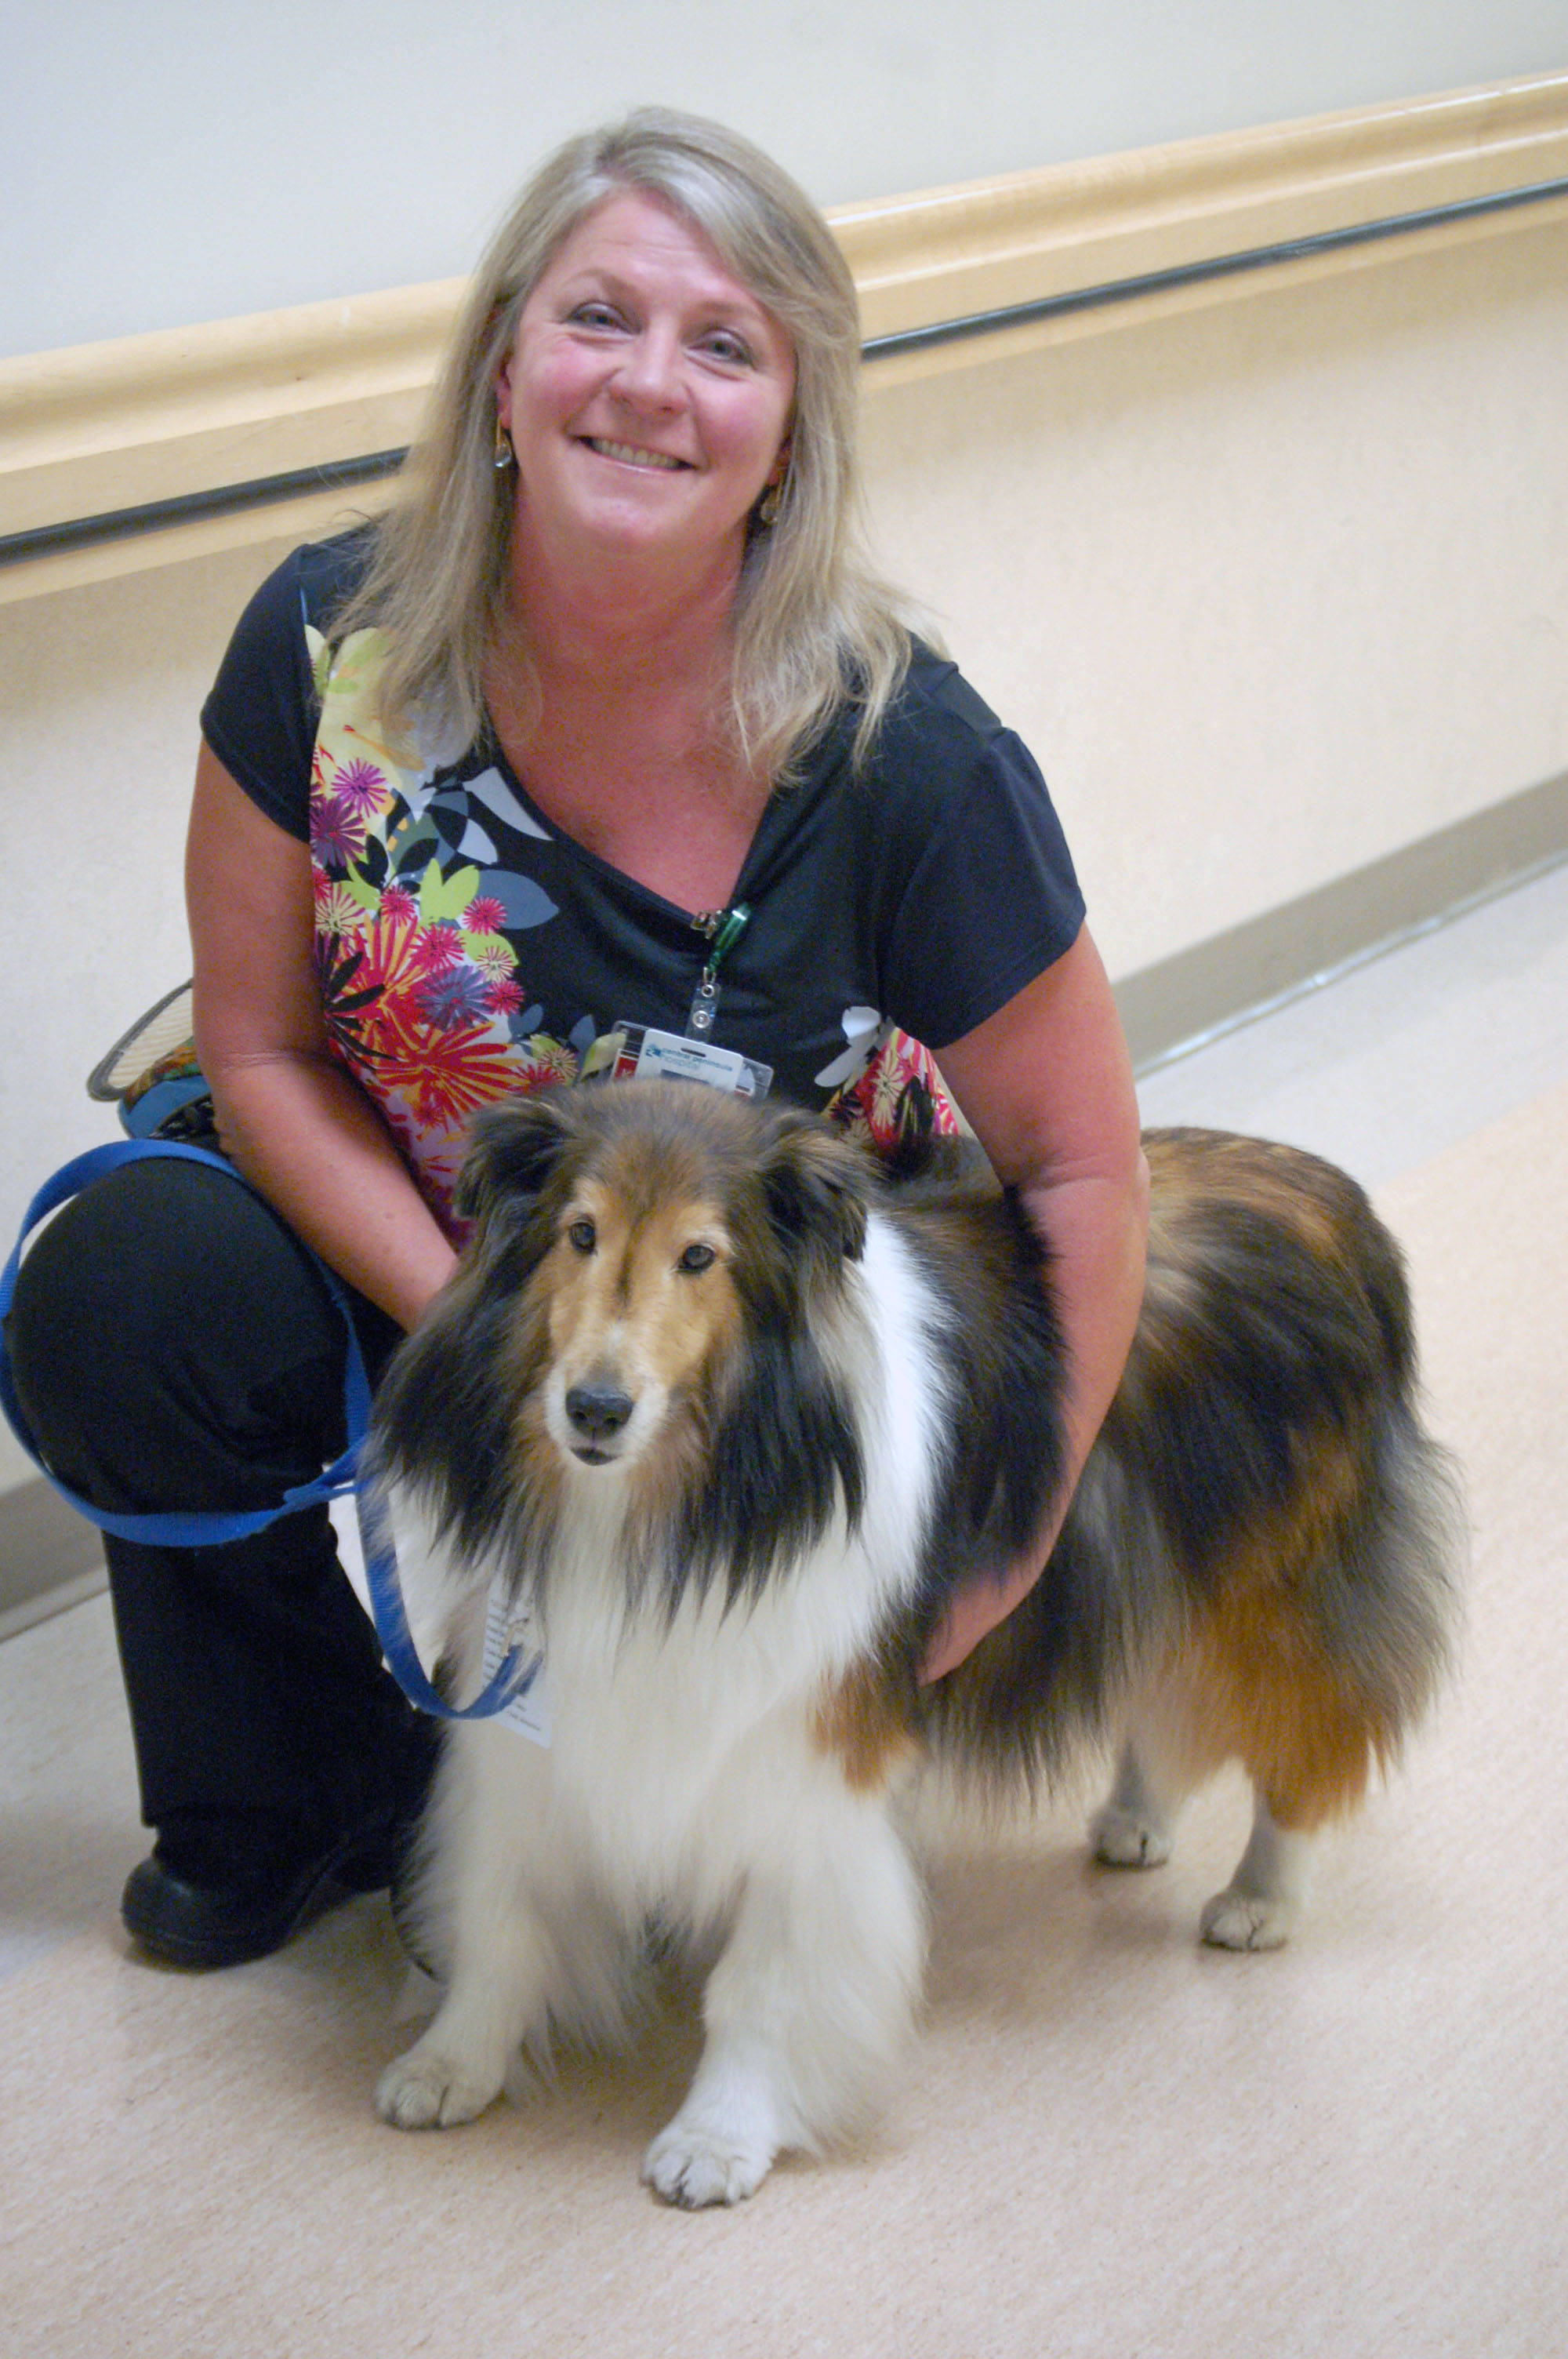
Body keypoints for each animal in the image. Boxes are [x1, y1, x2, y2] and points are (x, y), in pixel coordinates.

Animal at [363, 1080, 1452, 2198]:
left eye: (700, 1254)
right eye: (579, 1233)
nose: (594, 1408)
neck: (664, 1503)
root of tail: (1336, 1197)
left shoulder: (801, 1765)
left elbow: (763, 1980)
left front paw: (717, 2135)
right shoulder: (522, 1731)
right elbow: (498, 1912)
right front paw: (451, 2064)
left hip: (1274, 1594)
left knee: (1307, 1742)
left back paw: (1258, 1898)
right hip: (1146, 1567)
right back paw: (1136, 1817)